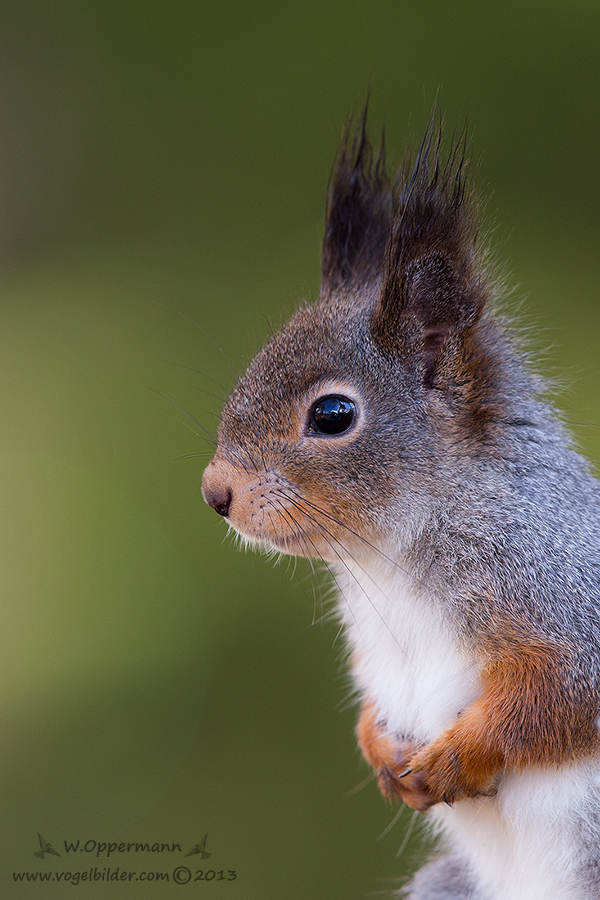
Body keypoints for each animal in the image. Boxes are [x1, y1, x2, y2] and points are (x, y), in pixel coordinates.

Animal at [200, 110, 600, 900]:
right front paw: (378, 748)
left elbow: (563, 691)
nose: (214, 491)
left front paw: (458, 756)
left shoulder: (563, 589)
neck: (387, 557)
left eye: (332, 415)